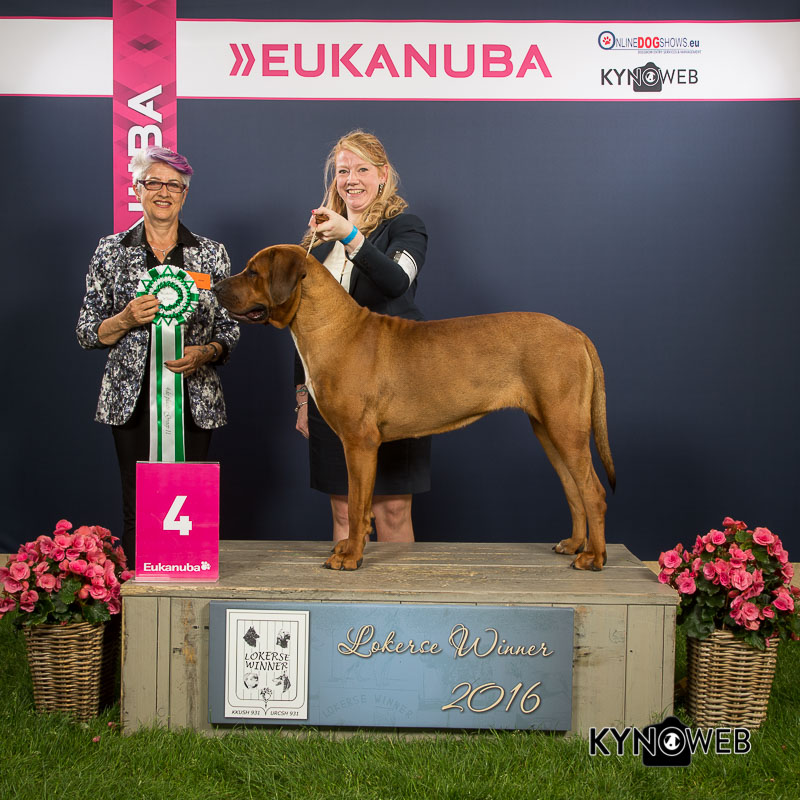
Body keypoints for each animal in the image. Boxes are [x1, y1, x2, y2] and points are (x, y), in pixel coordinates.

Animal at [214, 245, 615, 571]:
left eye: (252, 272)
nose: (215, 288)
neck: (331, 326)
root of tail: (574, 331)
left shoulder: (359, 443)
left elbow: (357, 505)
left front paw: (350, 557)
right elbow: (362, 508)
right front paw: (350, 547)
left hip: (565, 426)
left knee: (593, 492)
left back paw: (594, 557)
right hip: (548, 428)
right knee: (573, 490)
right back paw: (574, 544)